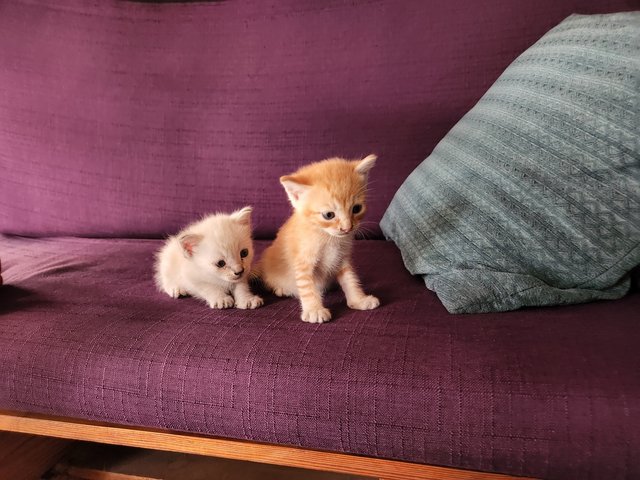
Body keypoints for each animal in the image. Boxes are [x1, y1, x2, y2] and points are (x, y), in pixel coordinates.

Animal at [260, 156, 380, 324]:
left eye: (356, 209)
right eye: (328, 215)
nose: (347, 228)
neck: (328, 237)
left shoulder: (342, 259)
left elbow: (350, 278)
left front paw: (359, 300)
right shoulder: (303, 262)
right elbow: (307, 286)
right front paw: (314, 310)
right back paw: (281, 289)